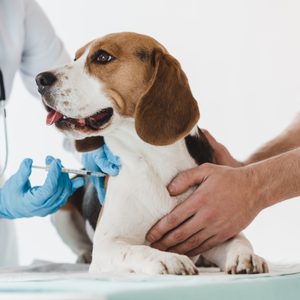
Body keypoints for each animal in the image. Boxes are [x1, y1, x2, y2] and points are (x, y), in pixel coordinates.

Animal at [36, 32, 268, 274]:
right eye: (75, 58)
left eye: (102, 57)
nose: (40, 79)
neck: (152, 160)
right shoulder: (108, 244)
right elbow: (137, 250)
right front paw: (169, 258)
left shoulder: (214, 225)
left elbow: (239, 240)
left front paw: (245, 256)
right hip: (61, 210)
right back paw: (84, 255)